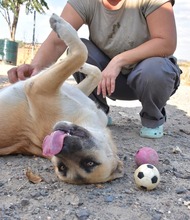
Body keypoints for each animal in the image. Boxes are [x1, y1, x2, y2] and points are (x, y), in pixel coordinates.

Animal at [0, 12, 123, 183]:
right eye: (62, 167)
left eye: (89, 163)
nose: (56, 147)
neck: (86, 120)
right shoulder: (71, 88)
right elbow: (94, 69)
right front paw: (81, 63)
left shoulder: (37, 87)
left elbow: (81, 53)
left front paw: (61, 26)